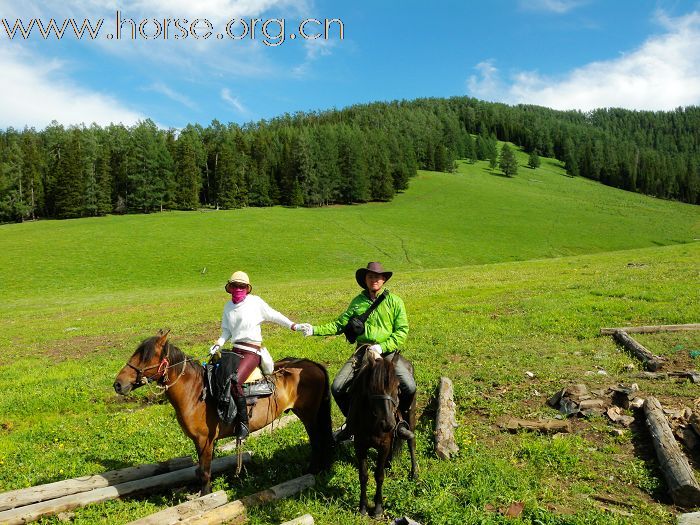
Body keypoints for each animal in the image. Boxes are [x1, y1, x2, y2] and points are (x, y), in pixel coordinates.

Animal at [112, 332, 334, 496]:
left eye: (145, 357)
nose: (118, 384)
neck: (195, 393)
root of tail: (311, 364)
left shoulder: (205, 440)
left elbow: (204, 472)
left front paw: (206, 496)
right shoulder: (200, 442)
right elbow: (200, 469)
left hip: (309, 415)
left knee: (317, 441)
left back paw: (312, 471)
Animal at [346, 348, 416, 516]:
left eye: (398, 386)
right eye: (372, 387)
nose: (388, 424)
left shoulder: (383, 445)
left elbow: (379, 475)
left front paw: (378, 509)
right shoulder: (360, 445)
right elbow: (363, 475)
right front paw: (363, 507)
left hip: (410, 414)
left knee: (411, 441)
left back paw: (415, 473)